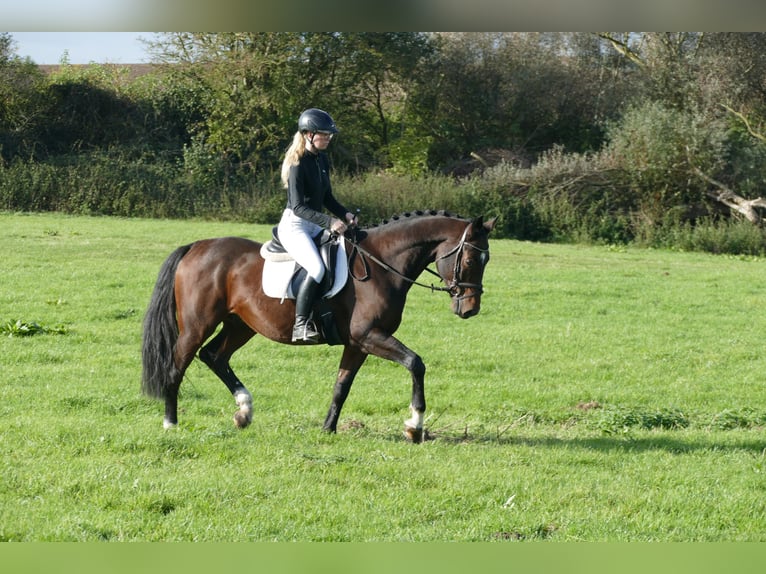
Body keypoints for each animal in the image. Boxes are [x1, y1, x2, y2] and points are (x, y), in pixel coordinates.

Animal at [141, 214, 498, 444]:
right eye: (470, 260)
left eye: (486, 262)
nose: (470, 309)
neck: (382, 265)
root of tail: (196, 246)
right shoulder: (369, 337)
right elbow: (415, 363)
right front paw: (414, 425)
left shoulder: (358, 343)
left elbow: (342, 386)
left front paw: (328, 428)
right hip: (197, 325)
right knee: (177, 366)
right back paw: (171, 423)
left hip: (241, 325)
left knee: (214, 356)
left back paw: (244, 411)